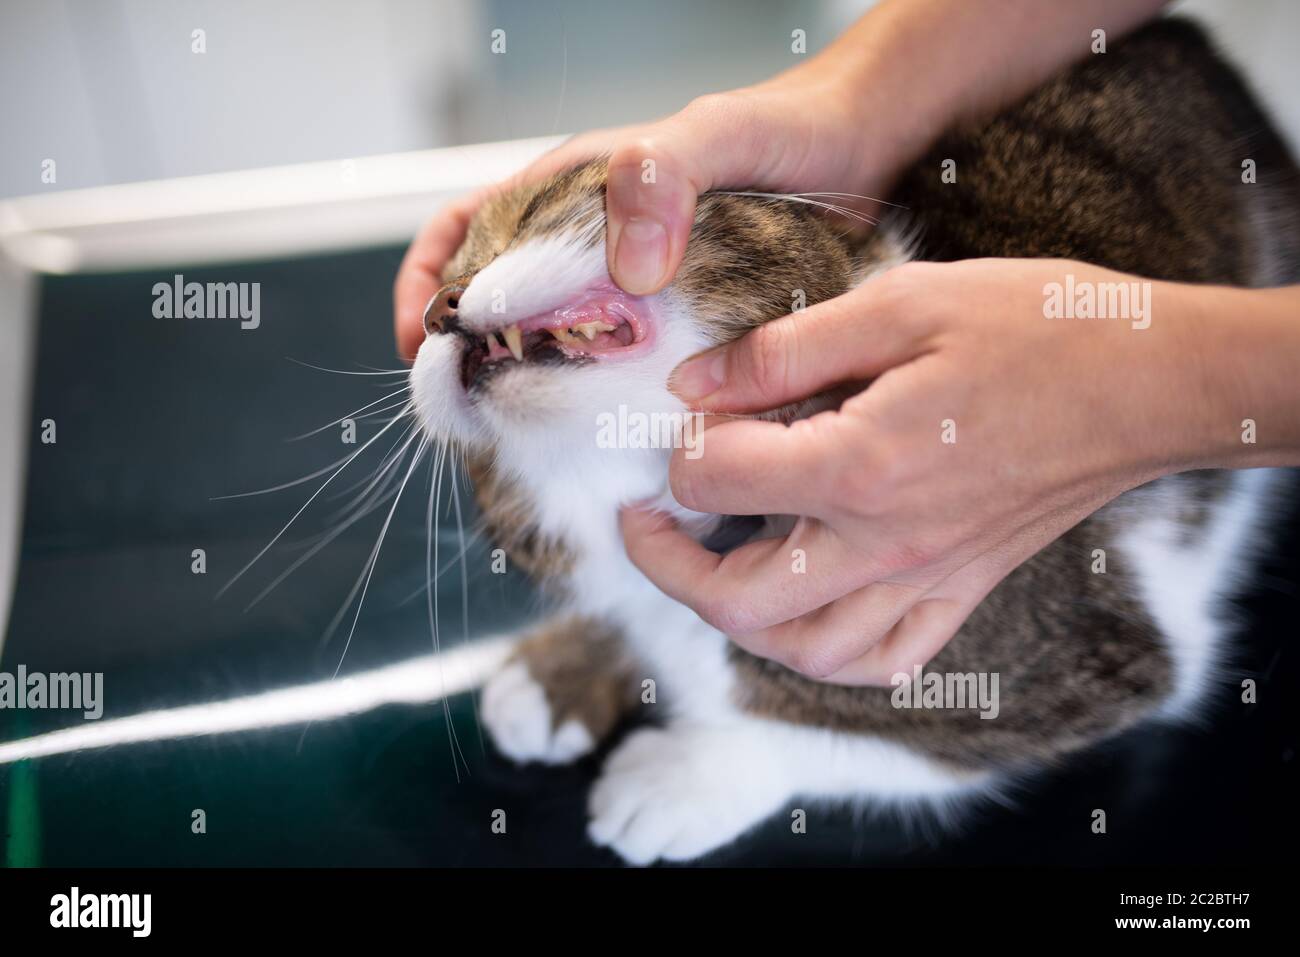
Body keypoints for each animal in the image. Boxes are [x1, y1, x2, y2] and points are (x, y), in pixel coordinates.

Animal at [408, 18, 1300, 863]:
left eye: (521, 221)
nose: (438, 305)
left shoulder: (1095, 660)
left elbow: (847, 725)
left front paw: (684, 773)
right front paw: (563, 667)